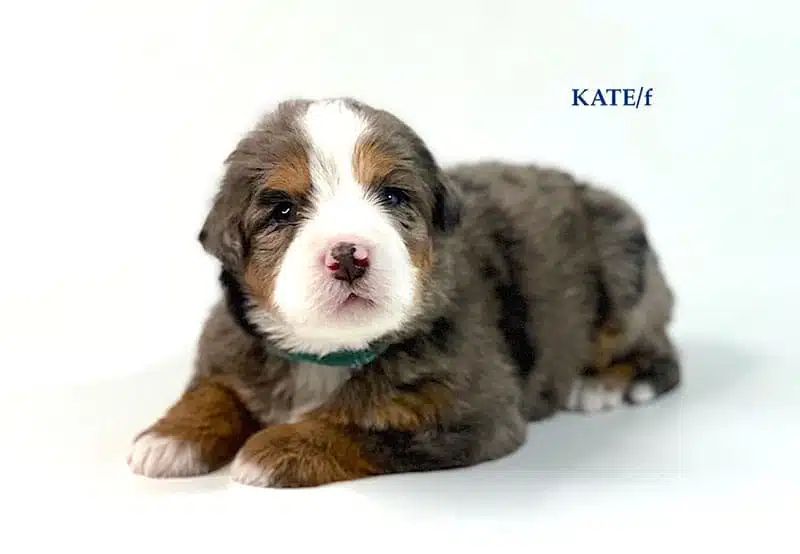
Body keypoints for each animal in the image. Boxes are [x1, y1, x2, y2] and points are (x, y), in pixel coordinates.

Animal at [128, 97, 680, 486]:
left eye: (393, 196)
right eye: (282, 210)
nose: (349, 255)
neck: (327, 354)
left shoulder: (472, 409)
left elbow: (364, 428)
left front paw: (273, 449)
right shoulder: (231, 346)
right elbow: (212, 391)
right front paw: (167, 438)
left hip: (623, 285)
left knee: (664, 357)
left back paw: (606, 385)